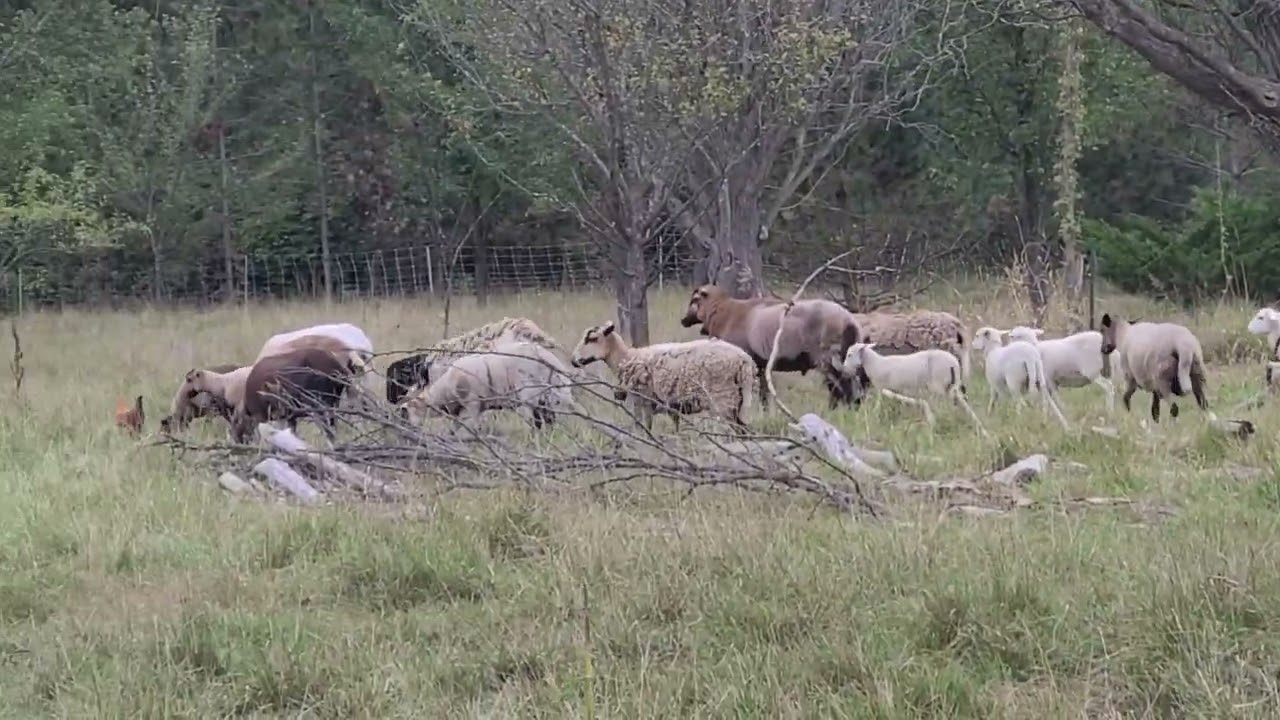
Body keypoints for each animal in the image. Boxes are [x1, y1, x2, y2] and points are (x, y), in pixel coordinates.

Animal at [402, 340, 575, 430]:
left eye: (407, 413)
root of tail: (548, 360)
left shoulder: (472, 405)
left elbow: (470, 427)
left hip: (529, 393)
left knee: (536, 421)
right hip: (551, 395)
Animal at [570, 320, 756, 432]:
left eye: (592, 339)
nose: (573, 360)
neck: (626, 358)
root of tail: (744, 361)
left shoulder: (643, 401)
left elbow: (645, 428)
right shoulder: (671, 406)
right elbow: (675, 427)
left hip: (722, 398)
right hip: (739, 401)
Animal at [679, 284, 861, 409]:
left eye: (694, 300)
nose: (683, 321)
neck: (723, 311)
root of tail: (848, 320)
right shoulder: (761, 364)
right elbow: (764, 395)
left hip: (826, 358)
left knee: (840, 388)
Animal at [839, 342, 987, 434]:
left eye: (850, 354)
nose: (843, 370)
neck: (875, 363)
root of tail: (954, 363)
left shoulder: (881, 387)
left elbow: (878, 405)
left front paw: (873, 417)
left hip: (939, 387)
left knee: (944, 407)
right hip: (951, 386)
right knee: (961, 403)